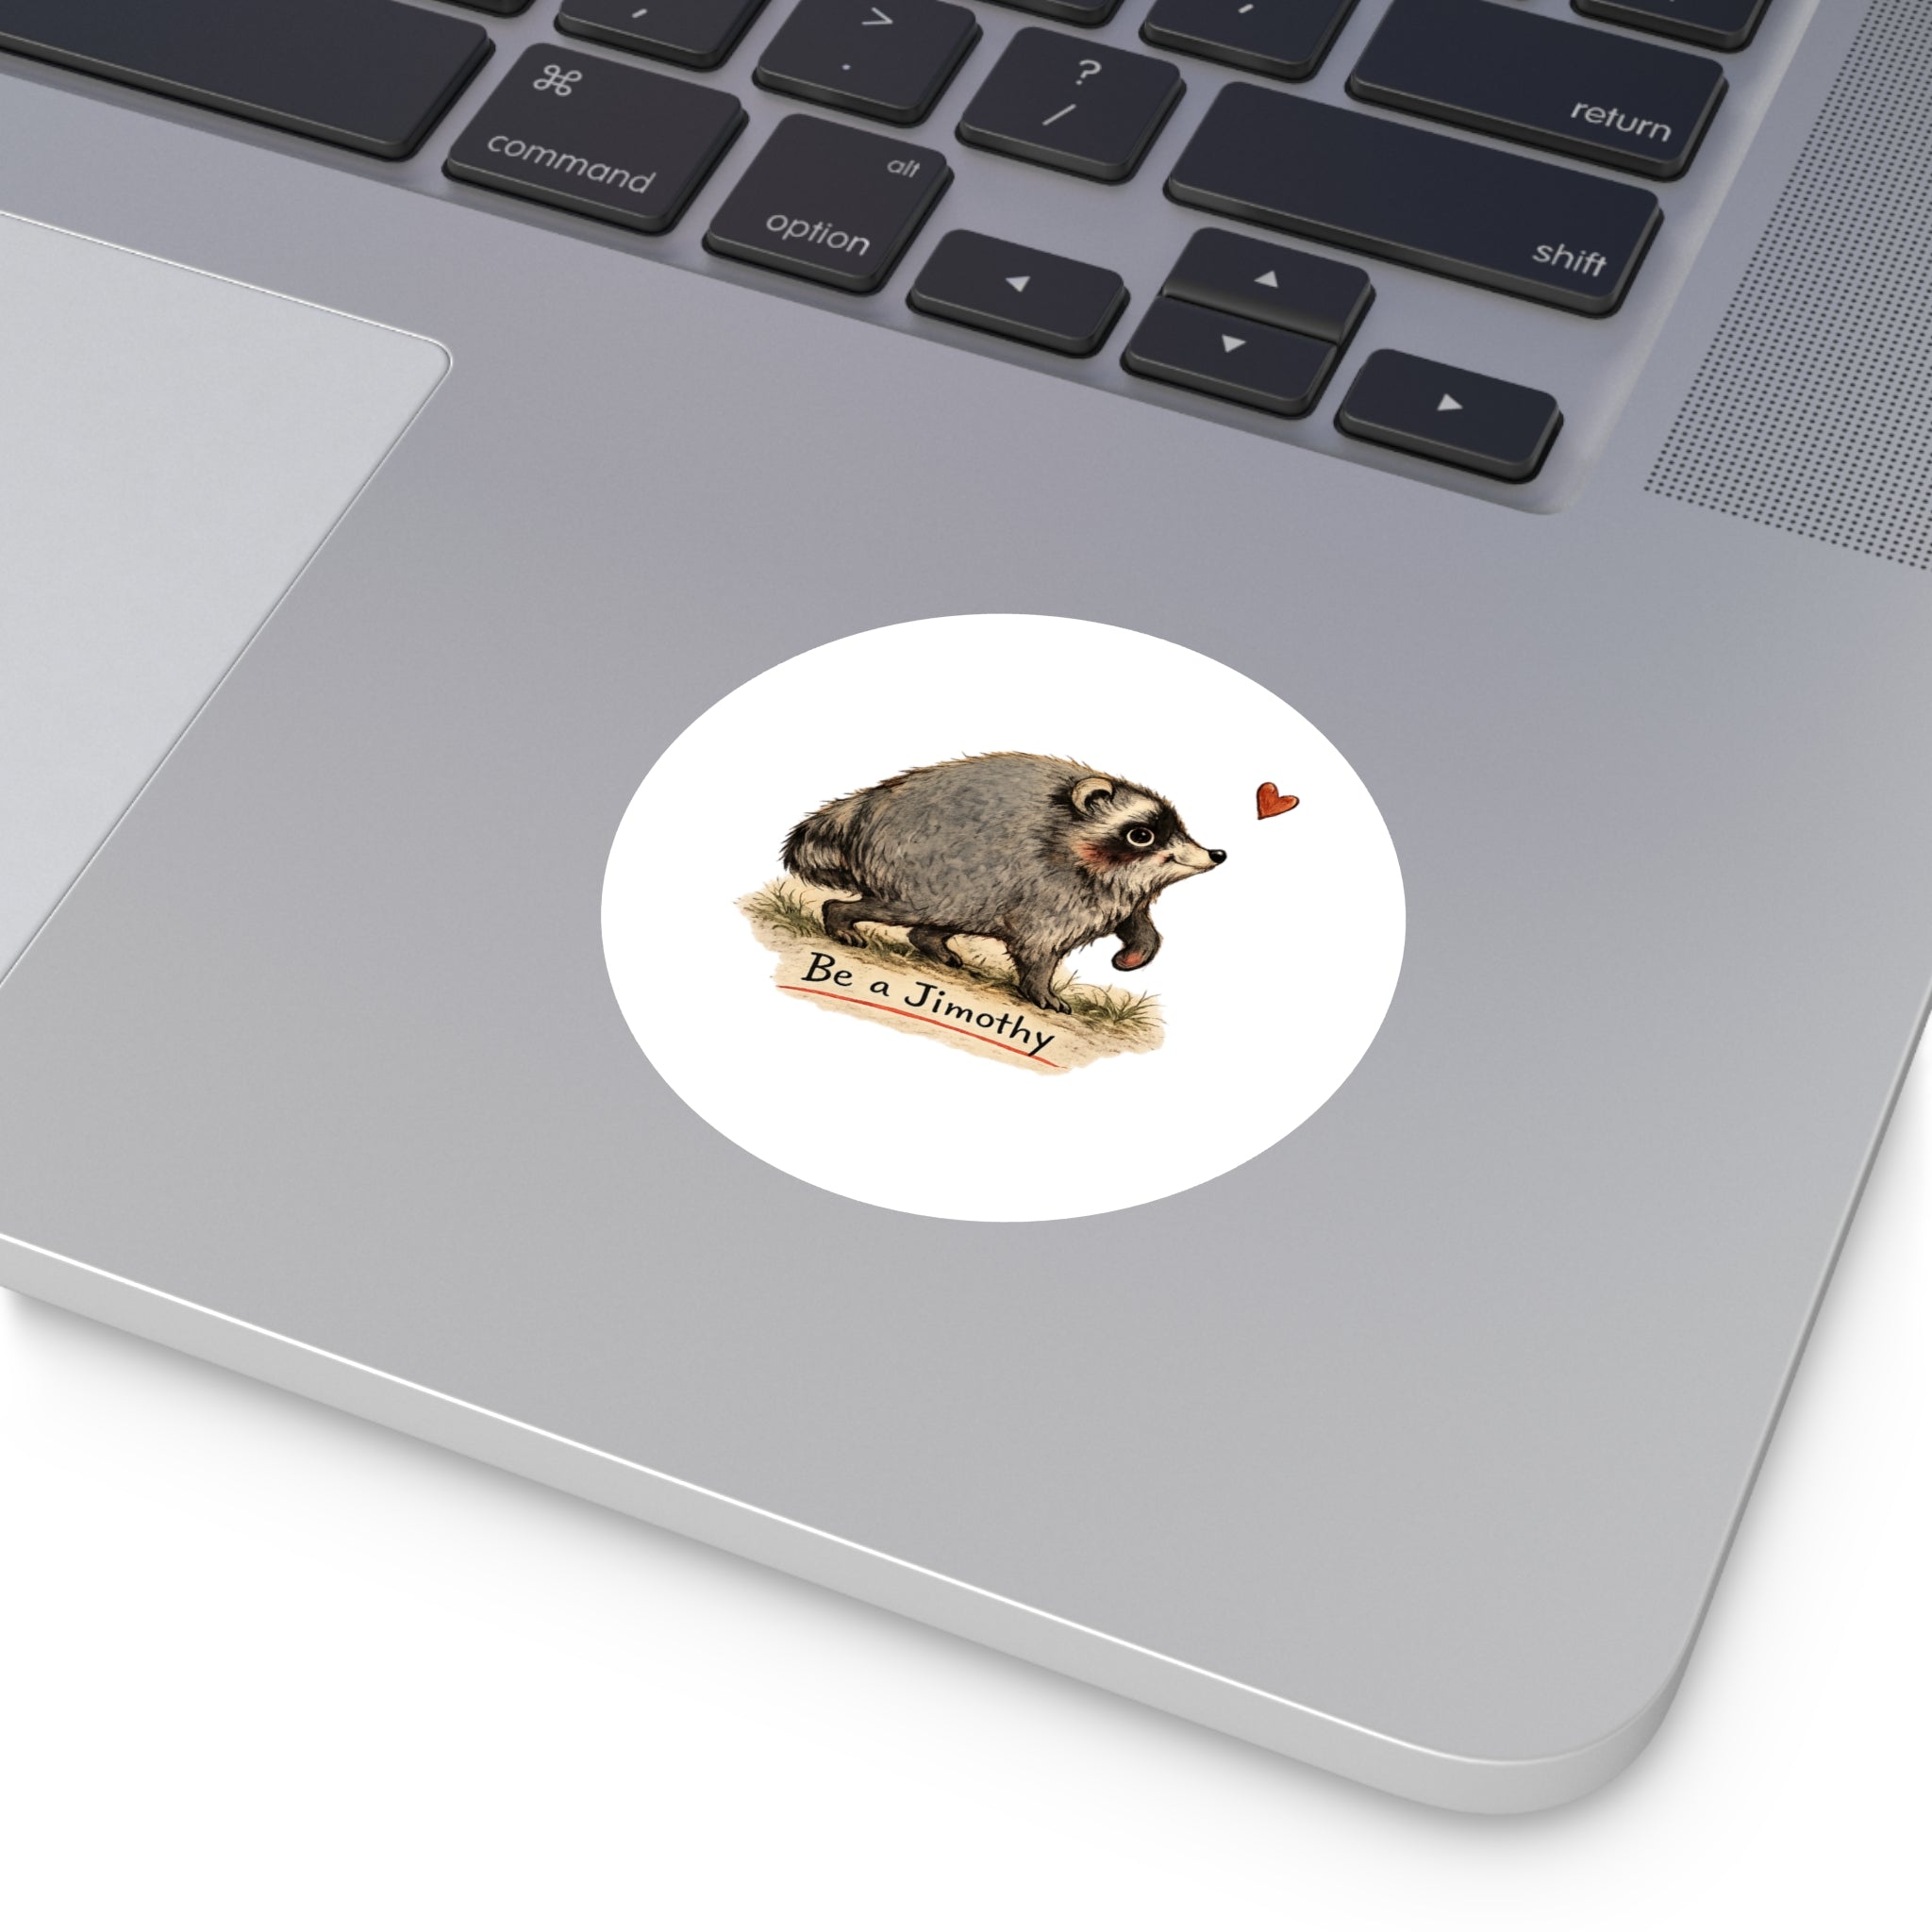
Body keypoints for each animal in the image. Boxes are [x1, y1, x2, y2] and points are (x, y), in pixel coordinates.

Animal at [782, 752, 1225, 1013]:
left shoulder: (1107, 894)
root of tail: (861, 806)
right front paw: (1040, 988)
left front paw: (1139, 947)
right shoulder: (1050, 888)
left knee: (937, 921)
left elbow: (1136, 922)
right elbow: (1037, 946)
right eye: (1142, 835)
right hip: (919, 868)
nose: (1216, 855)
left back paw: (932, 943)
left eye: (1179, 828)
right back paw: (841, 917)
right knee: (896, 907)